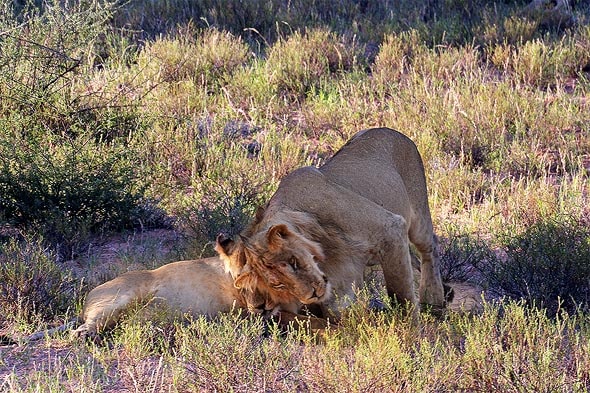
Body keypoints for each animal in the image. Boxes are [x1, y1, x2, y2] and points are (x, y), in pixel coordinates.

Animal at [220, 129, 446, 318]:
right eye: (276, 285)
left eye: (294, 262)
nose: (258, 308)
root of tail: (391, 131)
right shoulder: (343, 278)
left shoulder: (391, 229)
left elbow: (401, 294)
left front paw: (409, 332)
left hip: (418, 217)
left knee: (429, 248)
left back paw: (434, 301)